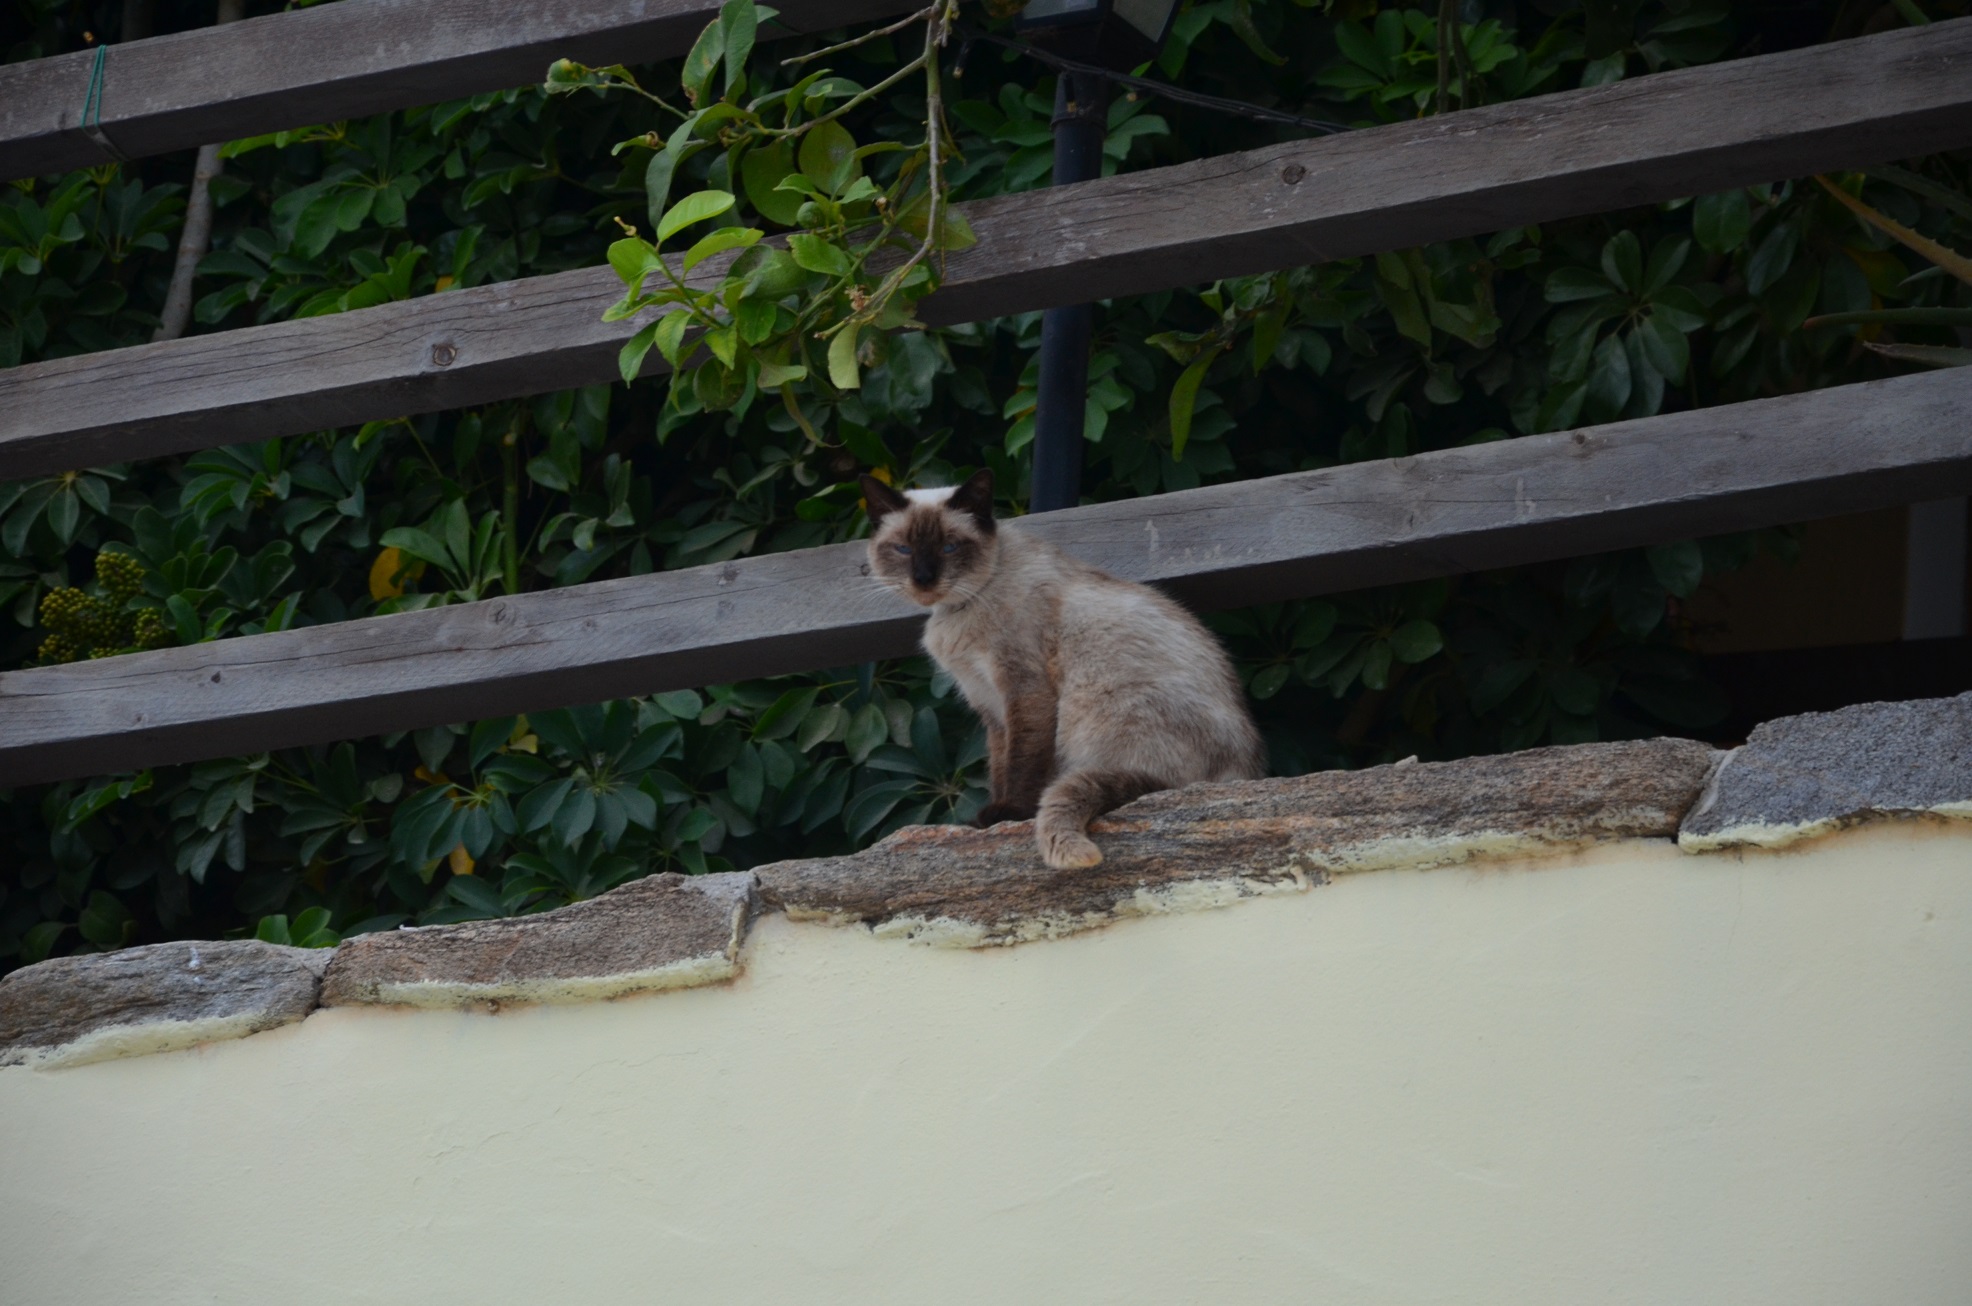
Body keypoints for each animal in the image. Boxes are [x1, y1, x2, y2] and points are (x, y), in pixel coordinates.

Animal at [860, 468, 1266, 870]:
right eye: (903, 549)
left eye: (949, 547)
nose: (923, 579)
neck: (960, 609)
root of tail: (1244, 775)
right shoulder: (990, 705)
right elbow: (1000, 765)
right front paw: (990, 820)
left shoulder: (1023, 689)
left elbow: (1022, 762)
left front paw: (1008, 814)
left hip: (1093, 707)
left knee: (1154, 785)